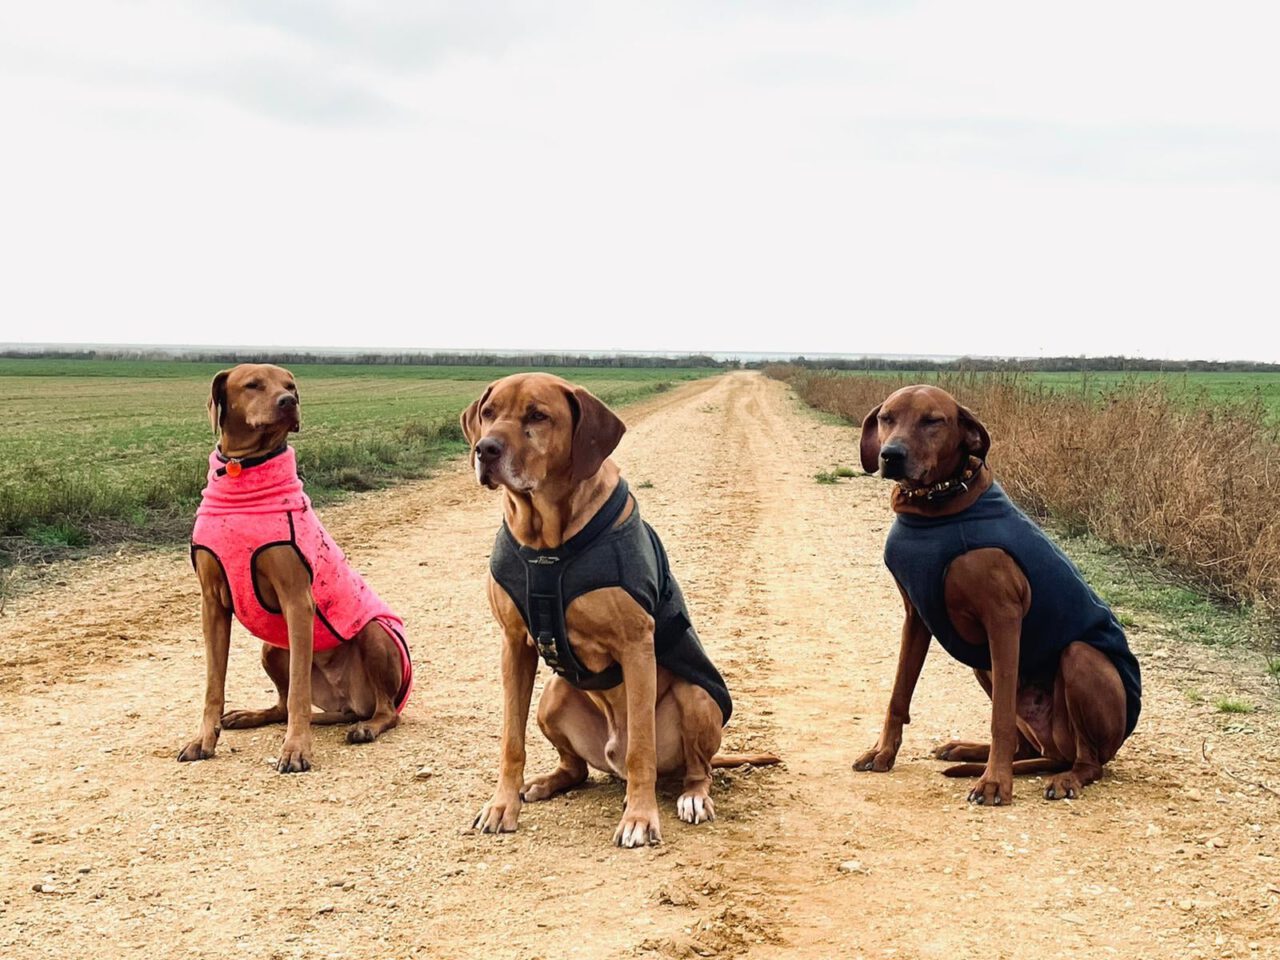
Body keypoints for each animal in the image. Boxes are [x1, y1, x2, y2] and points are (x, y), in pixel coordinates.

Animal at [176, 363, 409, 778]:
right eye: (252, 384)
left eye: (290, 385)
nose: (289, 402)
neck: (243, 469)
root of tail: (348, 703)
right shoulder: (212, 603)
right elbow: (213, 685)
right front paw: (203, 739)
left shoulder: (298, 601)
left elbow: (300, 690)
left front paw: (296, 749)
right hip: (272, 647)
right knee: (282, 705)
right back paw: (251, 715)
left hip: (372, 633)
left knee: (386, 710)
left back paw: (367, 726)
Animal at [463, 376, 773, 849]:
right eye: (488, 413)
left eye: (538, 415)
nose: (486, 449)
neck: (548, 543)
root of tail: (610, 758)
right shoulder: (514, 644)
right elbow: (511, 741)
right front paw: (502, 805)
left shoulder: (636, 646)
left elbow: (641, 748)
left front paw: (640, 819)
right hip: (553, 698)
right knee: (576, 768)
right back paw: (546, 783)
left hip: (696, 697)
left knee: (693, 768)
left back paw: (692, 797)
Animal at [849, 384, 1141, 803]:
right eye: (887, 417)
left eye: (933, 421)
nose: (891, 455)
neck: (936, 507)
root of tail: (1057, 751)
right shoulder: (916, 617)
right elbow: (898, 694)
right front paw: (882, 752)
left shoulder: (1003, 620)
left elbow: (1000, 717)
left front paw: (995, 782)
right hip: (983, 663)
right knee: (1027, 747)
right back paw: (967, 750)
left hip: (1080, 661)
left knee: (1089, 762)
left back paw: (1064, 777)